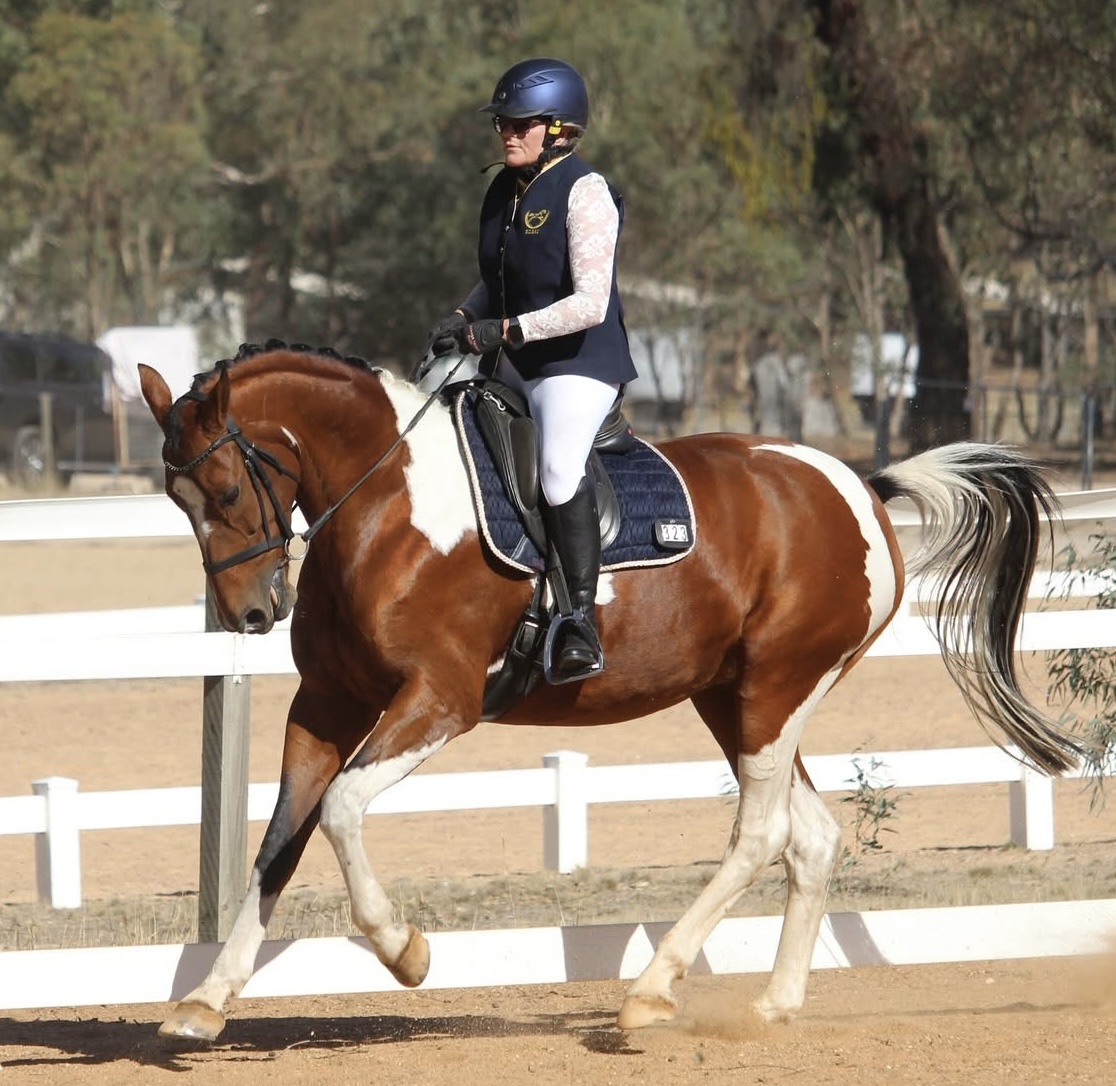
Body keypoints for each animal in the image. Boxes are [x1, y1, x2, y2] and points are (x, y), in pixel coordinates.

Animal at [138, 343, 1081, 1043]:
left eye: (227, 488)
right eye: (175, 498)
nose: (251, 613)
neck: (390, 499)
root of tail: (858, 485)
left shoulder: (440, 701)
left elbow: (339, 809)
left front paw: (406, 952)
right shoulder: (327, 705)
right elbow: (280, 843)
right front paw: (206, 1002)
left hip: (777, 690)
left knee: (761, 833)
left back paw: (651, 991)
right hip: (735, 698)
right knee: (809, 838)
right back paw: (770, 1006)